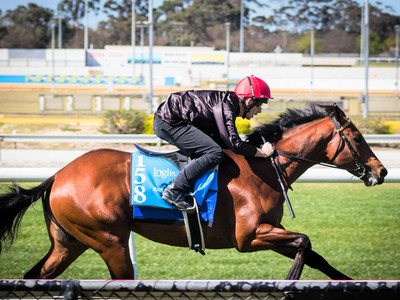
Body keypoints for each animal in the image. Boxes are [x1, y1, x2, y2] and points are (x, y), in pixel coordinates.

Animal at [0, 104, 388, 280]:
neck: (264, 168)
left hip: (69, 242)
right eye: (357, 138)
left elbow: (314, 254)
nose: (382, 171)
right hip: (109, 241)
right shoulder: (249, 236)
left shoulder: (269, 231)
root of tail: (57, 176)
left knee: (36, 276)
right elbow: (305, 243)